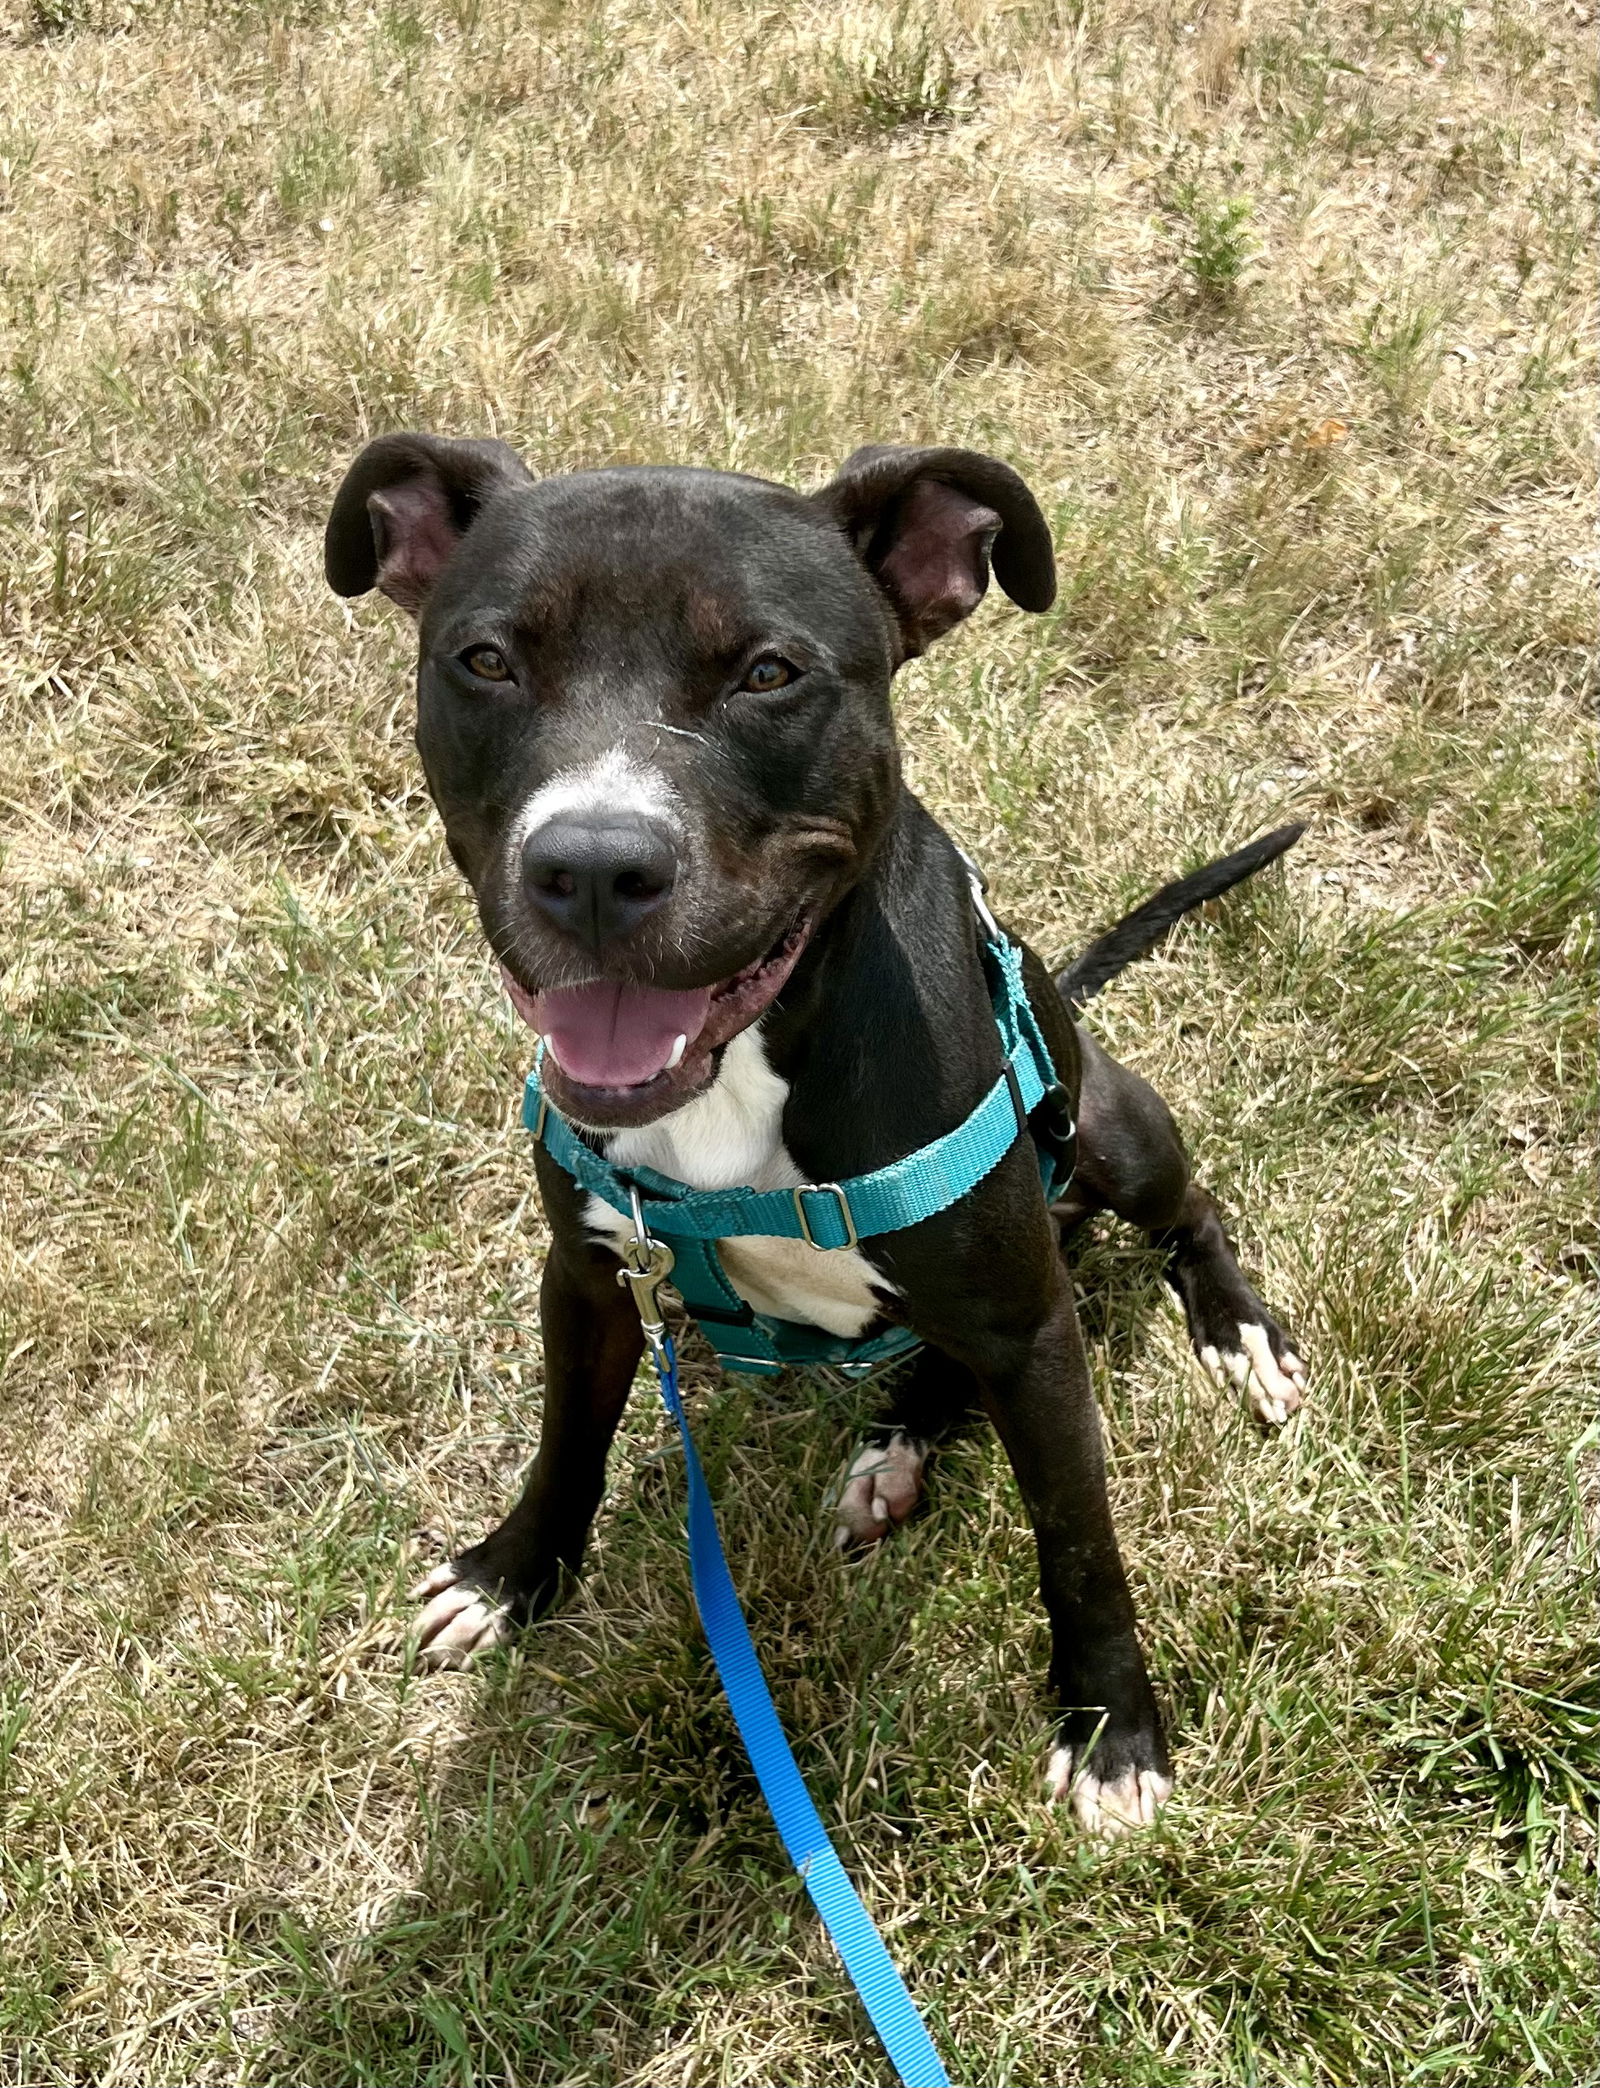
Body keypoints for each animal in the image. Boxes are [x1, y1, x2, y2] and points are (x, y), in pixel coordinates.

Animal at [321, 436, 1303, 1829]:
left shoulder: (1028, 1326)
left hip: (1111, 1124)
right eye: (488, 660)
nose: (593, 867)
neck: (738, 1082)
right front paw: (513, 1573)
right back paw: (894, 1451)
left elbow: (1077, 1535)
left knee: (1185, 1214)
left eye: (769, 674)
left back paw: (1235, 1334)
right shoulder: (591, 1275)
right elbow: (567, 1437)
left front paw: (1113, 1726)